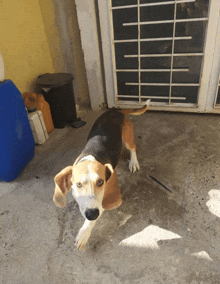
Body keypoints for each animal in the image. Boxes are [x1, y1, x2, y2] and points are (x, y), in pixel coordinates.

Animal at [52, 98, 150, 250]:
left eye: (101, 182)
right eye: (78, 184)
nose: (92, 214)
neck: (91, 157)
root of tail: (116, 110)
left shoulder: (103, 201)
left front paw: (84, 234)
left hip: (127, 137)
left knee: (133, 147)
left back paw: (133, 162)